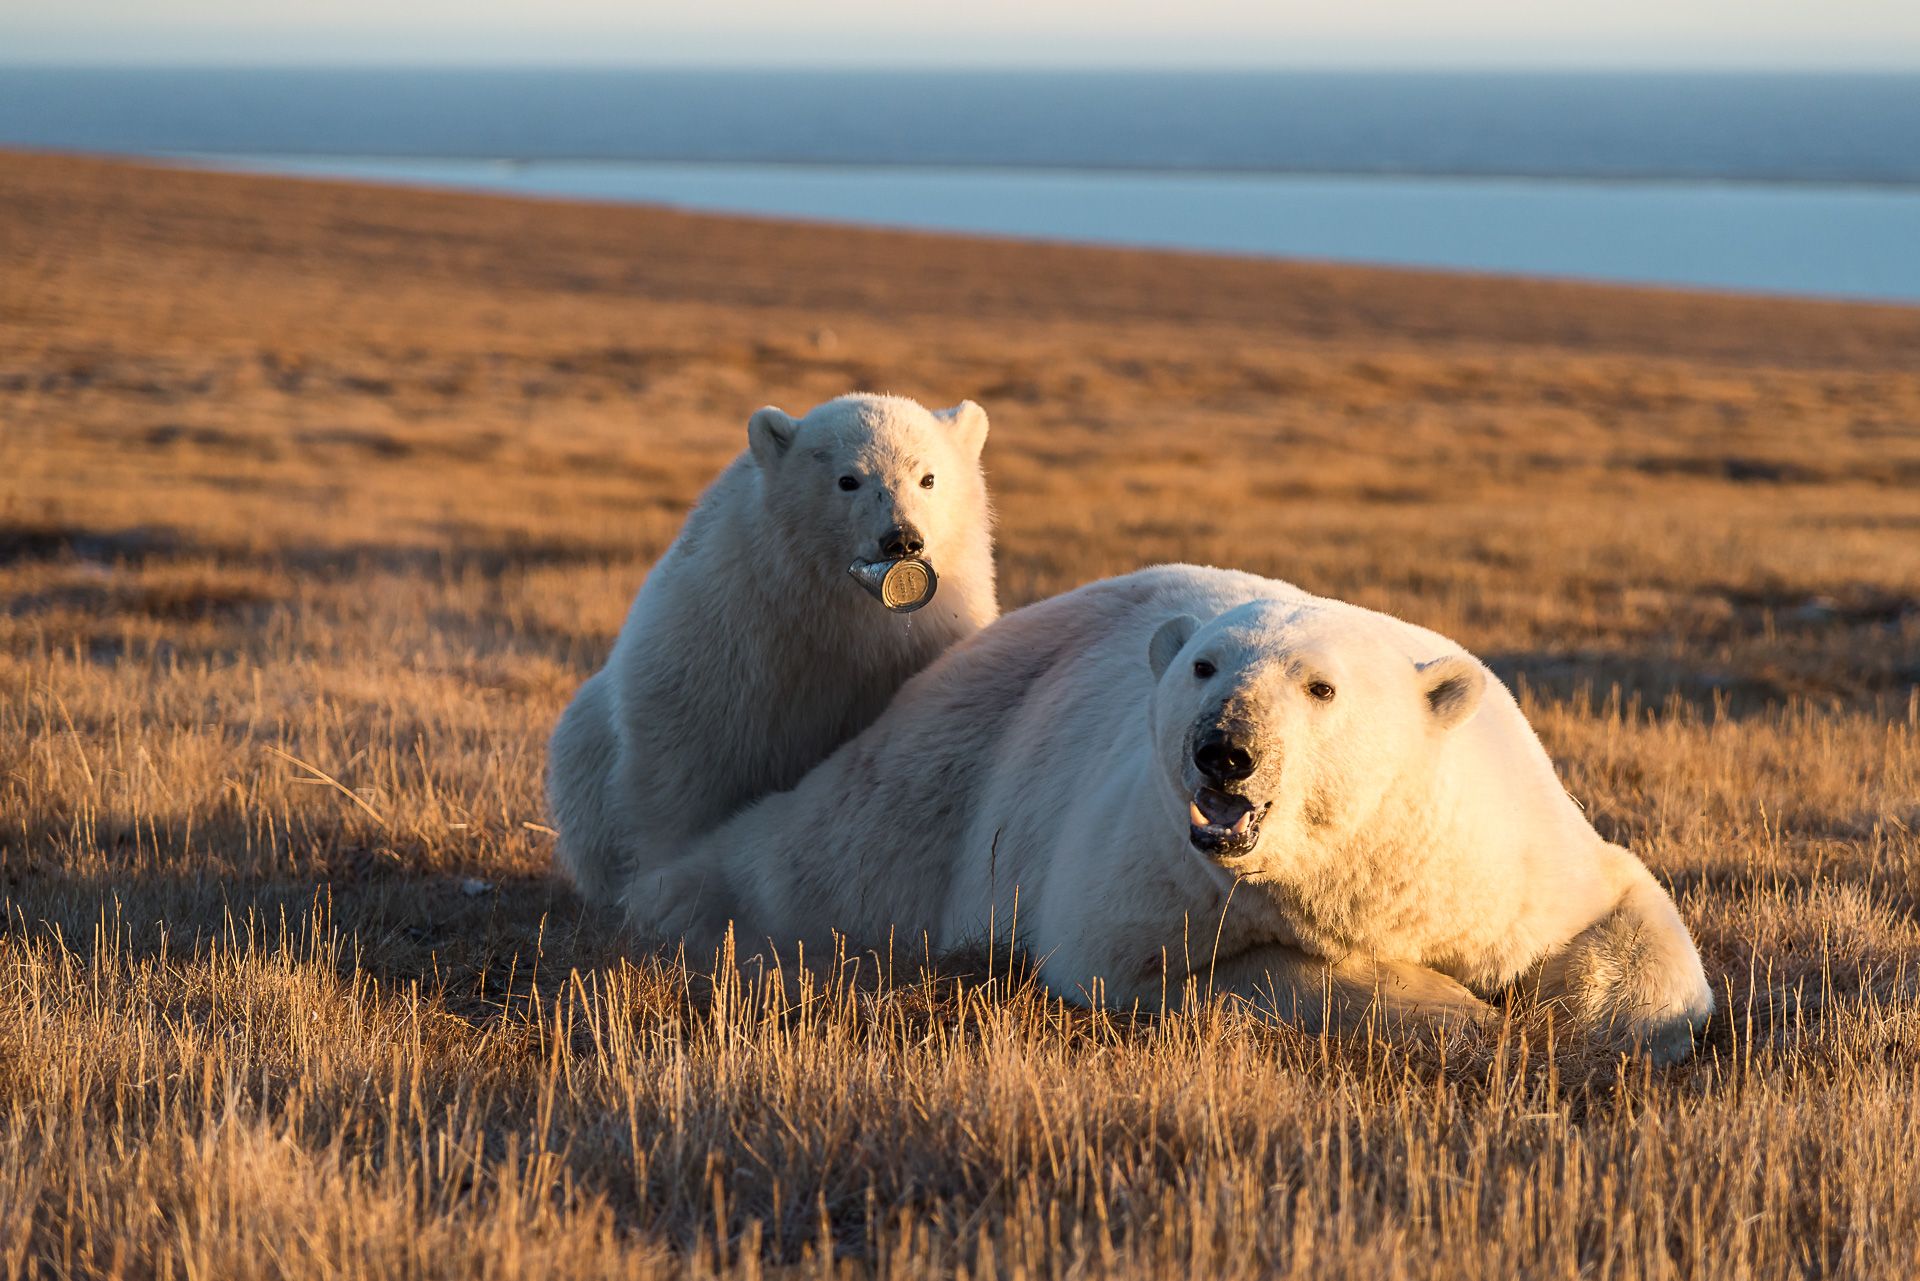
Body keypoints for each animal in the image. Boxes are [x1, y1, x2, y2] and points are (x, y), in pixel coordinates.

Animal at [549, 391, 998, 902]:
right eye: (848, 480)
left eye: (928, 477)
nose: (901, 539)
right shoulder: (729, 633)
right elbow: (678, 759)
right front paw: (664, 877)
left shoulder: (918, 642)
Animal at [637, 568, 1720, 1060]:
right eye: (1205, 665)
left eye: (1318, 687)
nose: (1223, 748)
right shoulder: (1150, 876)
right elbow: (1205, 969)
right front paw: (1457, 1012)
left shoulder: (1500, 849)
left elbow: (1633, 926)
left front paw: (1572, 1022)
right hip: (944, 769)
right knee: (819, 855)